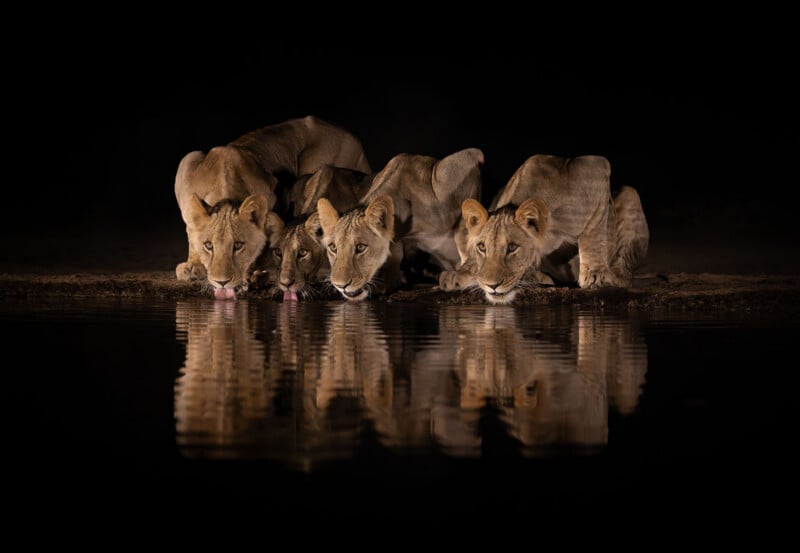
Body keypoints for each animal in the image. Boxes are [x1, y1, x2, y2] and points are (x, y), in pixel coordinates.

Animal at [174, 115, 371, 299]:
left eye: (238, 246)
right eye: (209, 245)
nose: (222, 282)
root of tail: (355, 139)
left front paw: (252, 275)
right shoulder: (187, 162)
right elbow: (192, 234)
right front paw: (192, 266)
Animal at [316, 148, 484, 301]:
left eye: (360, 247)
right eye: (333, 248)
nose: (340, 285)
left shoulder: (471, 160)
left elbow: (465, 236)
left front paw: (460, 276)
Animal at [439, 154, 649, 304]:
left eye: (512, 248)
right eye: (482, 247)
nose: (492, 285)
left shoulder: (594, 168)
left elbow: (594, 233)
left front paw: (596, 273)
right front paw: (459, 274)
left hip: (630, 194)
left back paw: (617, 274)